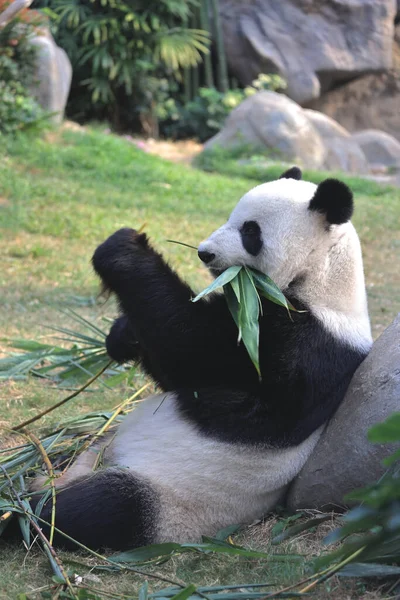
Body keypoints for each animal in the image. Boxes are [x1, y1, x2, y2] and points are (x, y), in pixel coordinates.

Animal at [30, 166, 372, 552]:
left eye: (250, 231)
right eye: (231, 216)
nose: (204, 253)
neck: (323, 277)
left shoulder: (302, 345)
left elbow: (194, 356)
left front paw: (124, 248)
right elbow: (172, 369)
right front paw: (121, 337)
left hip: (170, 501)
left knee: (96, 508)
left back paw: (25, 511)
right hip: (101, 446)